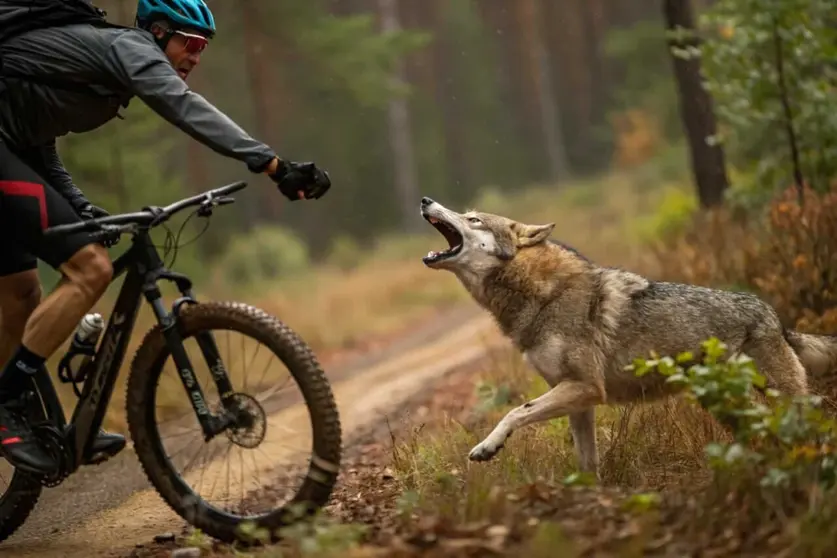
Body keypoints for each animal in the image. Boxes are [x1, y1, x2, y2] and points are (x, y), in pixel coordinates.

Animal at [418, 196, 837, 476]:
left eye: (472, 218)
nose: (425, 200)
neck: (541, 295)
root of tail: (774, 316)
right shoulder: (577, 400)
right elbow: (587, 464)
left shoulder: (586, 388)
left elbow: (514, 411)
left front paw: (487, 446)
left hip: (778, 397)